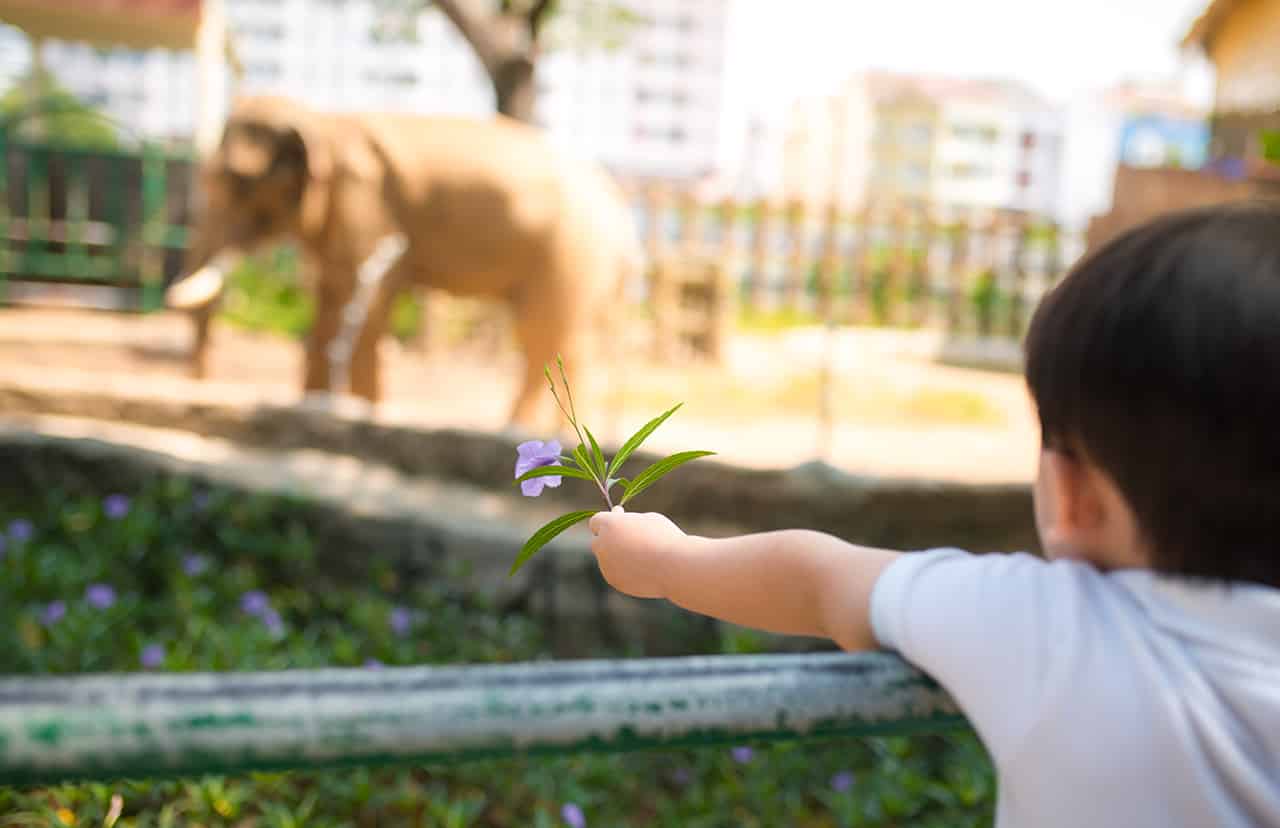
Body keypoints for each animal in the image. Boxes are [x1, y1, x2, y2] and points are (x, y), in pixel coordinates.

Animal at [166, 95, 645, 435]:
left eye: (238, 181)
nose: (199, 389)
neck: (324, 120)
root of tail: (624, 216)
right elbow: (329, 301)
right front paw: (315, 405)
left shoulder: (367, 205)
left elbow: (369, 304)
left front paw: (361, 412)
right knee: (567, 344)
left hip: (570, 253)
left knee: (538, 335)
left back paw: (516, 432)